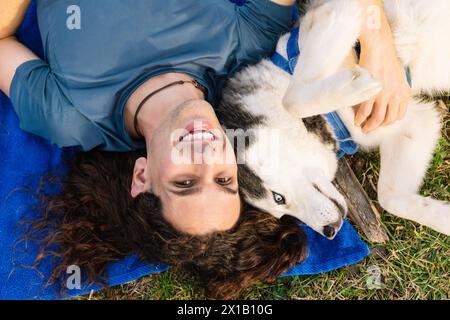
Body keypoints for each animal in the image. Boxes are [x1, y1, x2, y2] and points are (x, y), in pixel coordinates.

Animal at [216, 0, 448, 238]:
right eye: (283, 215)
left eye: (277, 198)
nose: (329, 231)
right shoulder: (411, 121)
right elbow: (389, 197)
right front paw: (444, 218)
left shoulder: (336, 11)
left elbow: (292, 100)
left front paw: (350, 88)